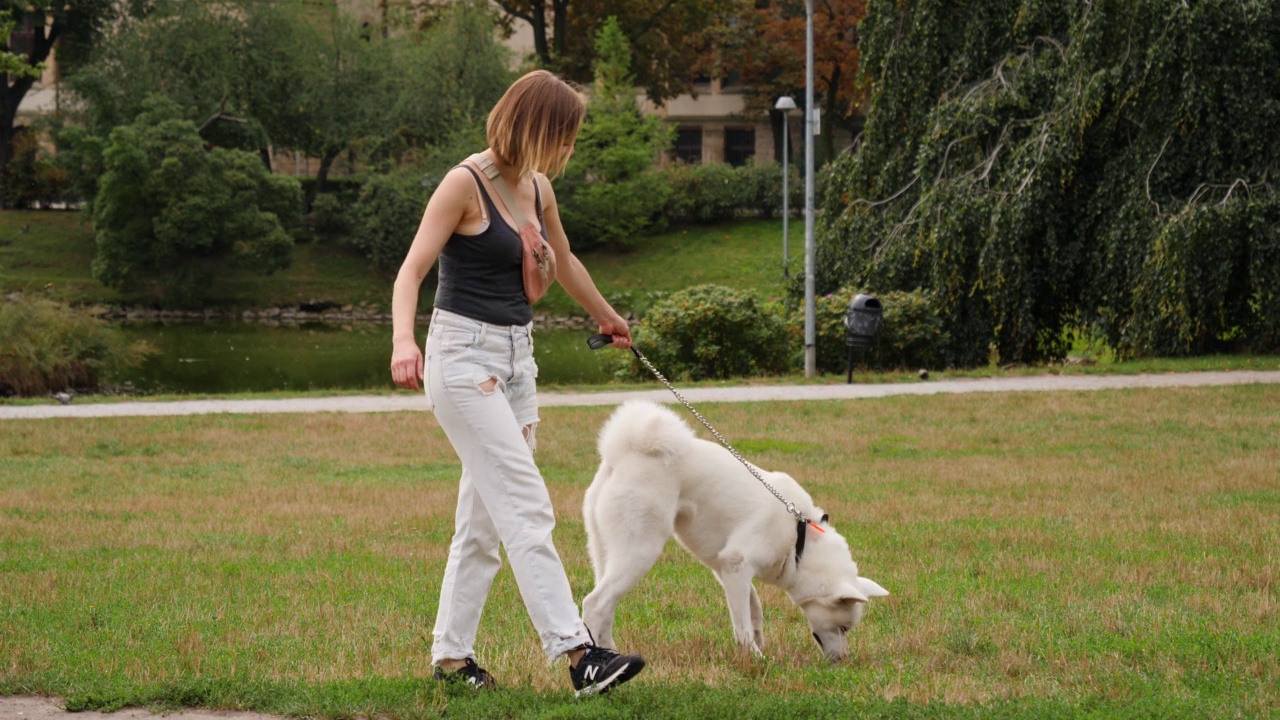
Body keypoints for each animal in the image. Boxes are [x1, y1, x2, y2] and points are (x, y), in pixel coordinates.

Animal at [583, 399, 890, 661]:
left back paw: (611, 655)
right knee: (594, 604)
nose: (842, 660)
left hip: (606, 555)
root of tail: (624, 453)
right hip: (641, 551)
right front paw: (756, 658)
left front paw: (758, 641)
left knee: (605, 608)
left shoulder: (726, 570)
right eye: (844, 628)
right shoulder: (737, 564)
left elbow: (754, 608)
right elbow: (741, 623)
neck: (799, 539)